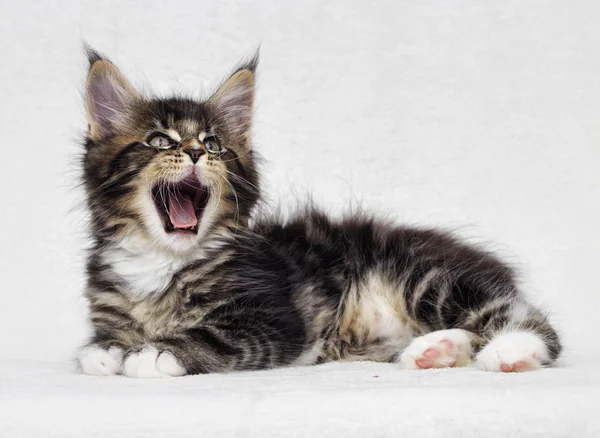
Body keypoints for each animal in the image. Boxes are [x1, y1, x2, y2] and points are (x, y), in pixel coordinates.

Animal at [77, 47, 560, 376]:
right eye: (160, 141)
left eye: (214, 146)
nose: (196, 153)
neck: (162, 262)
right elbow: (99, 344)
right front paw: (108, 351)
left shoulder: (274, 319)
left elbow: (211, 335)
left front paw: (155, 351)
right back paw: (434, 351)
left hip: (426, 277)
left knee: (531, 321)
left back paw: (513, 350)